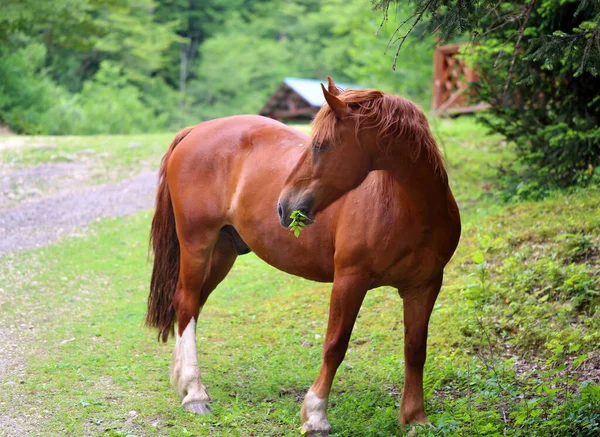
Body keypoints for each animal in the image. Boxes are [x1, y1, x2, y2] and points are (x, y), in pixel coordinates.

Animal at [146, 76, 460, 434]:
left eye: (320, 145)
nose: (284, 206)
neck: (409, 209)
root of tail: (194, 131)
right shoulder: (350, 280)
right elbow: (335, 345)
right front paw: (316, 415)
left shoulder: (425, 286)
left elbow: (415, 348)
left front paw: (415, 417)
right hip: (197, 243)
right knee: (186, 303)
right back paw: (195, 392)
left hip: (223, 252)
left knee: (191, 306)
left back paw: (183, 381)